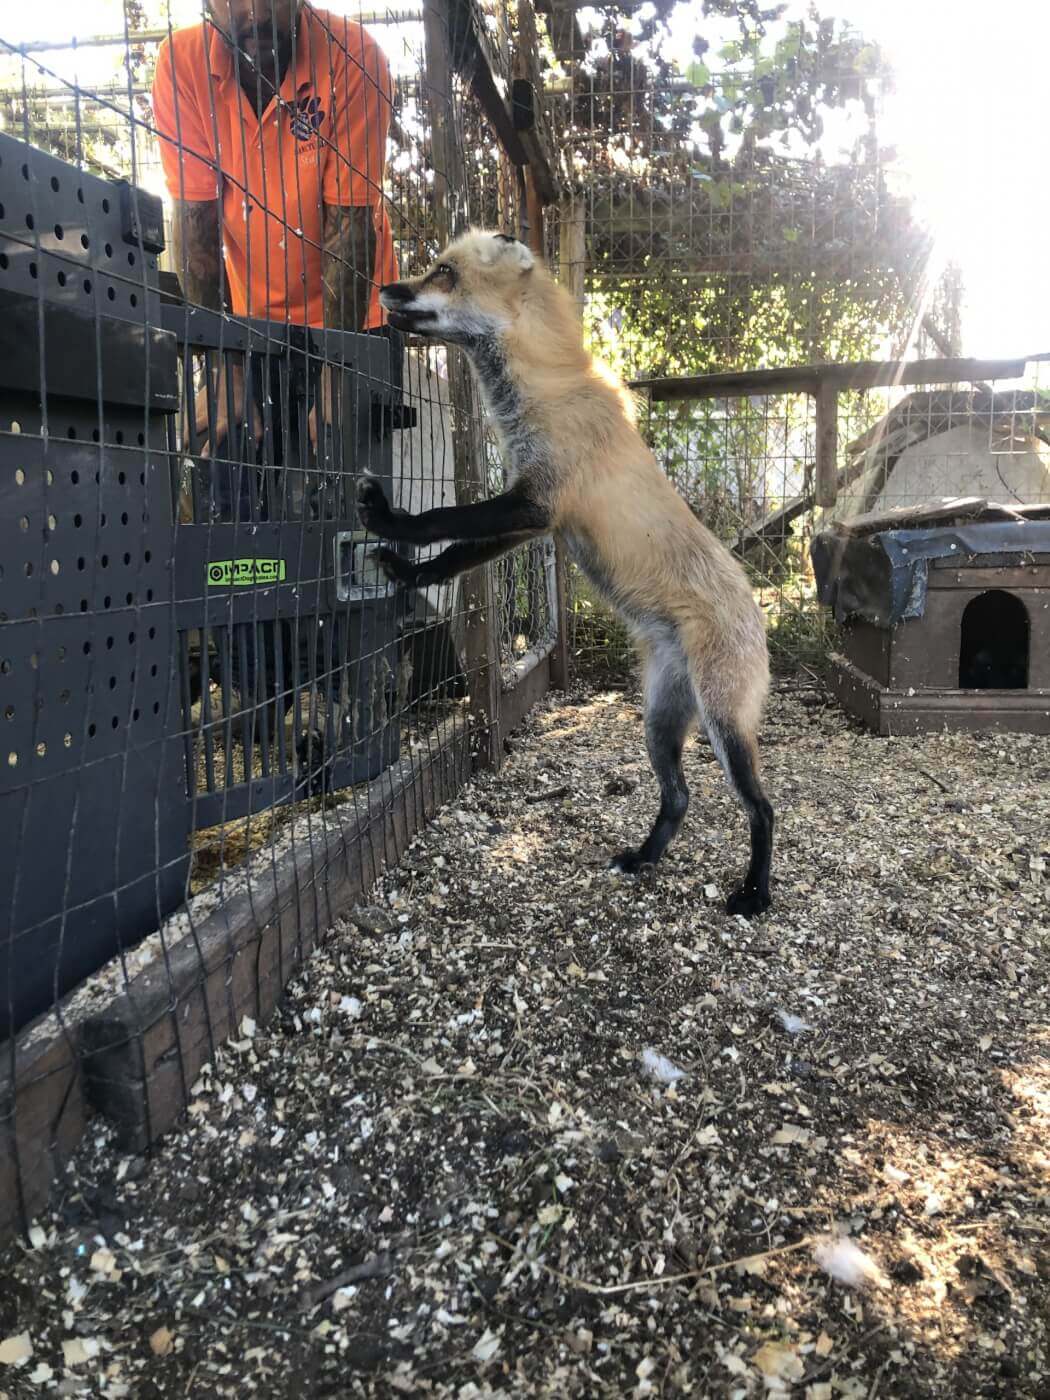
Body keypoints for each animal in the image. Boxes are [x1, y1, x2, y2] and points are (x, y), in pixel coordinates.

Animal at [358, 229, 778, 918]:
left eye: (443, 272)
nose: (384, 289)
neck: (544, 393)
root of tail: (757, 615)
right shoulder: (531, 521)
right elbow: (454, 553)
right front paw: (404, 569)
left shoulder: (537, 501)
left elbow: (443, 518)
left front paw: (388, 520)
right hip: (659, 722)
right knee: (680, 796)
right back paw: (643, 858)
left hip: (723, 727)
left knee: (763, 808)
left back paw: (756, 893)